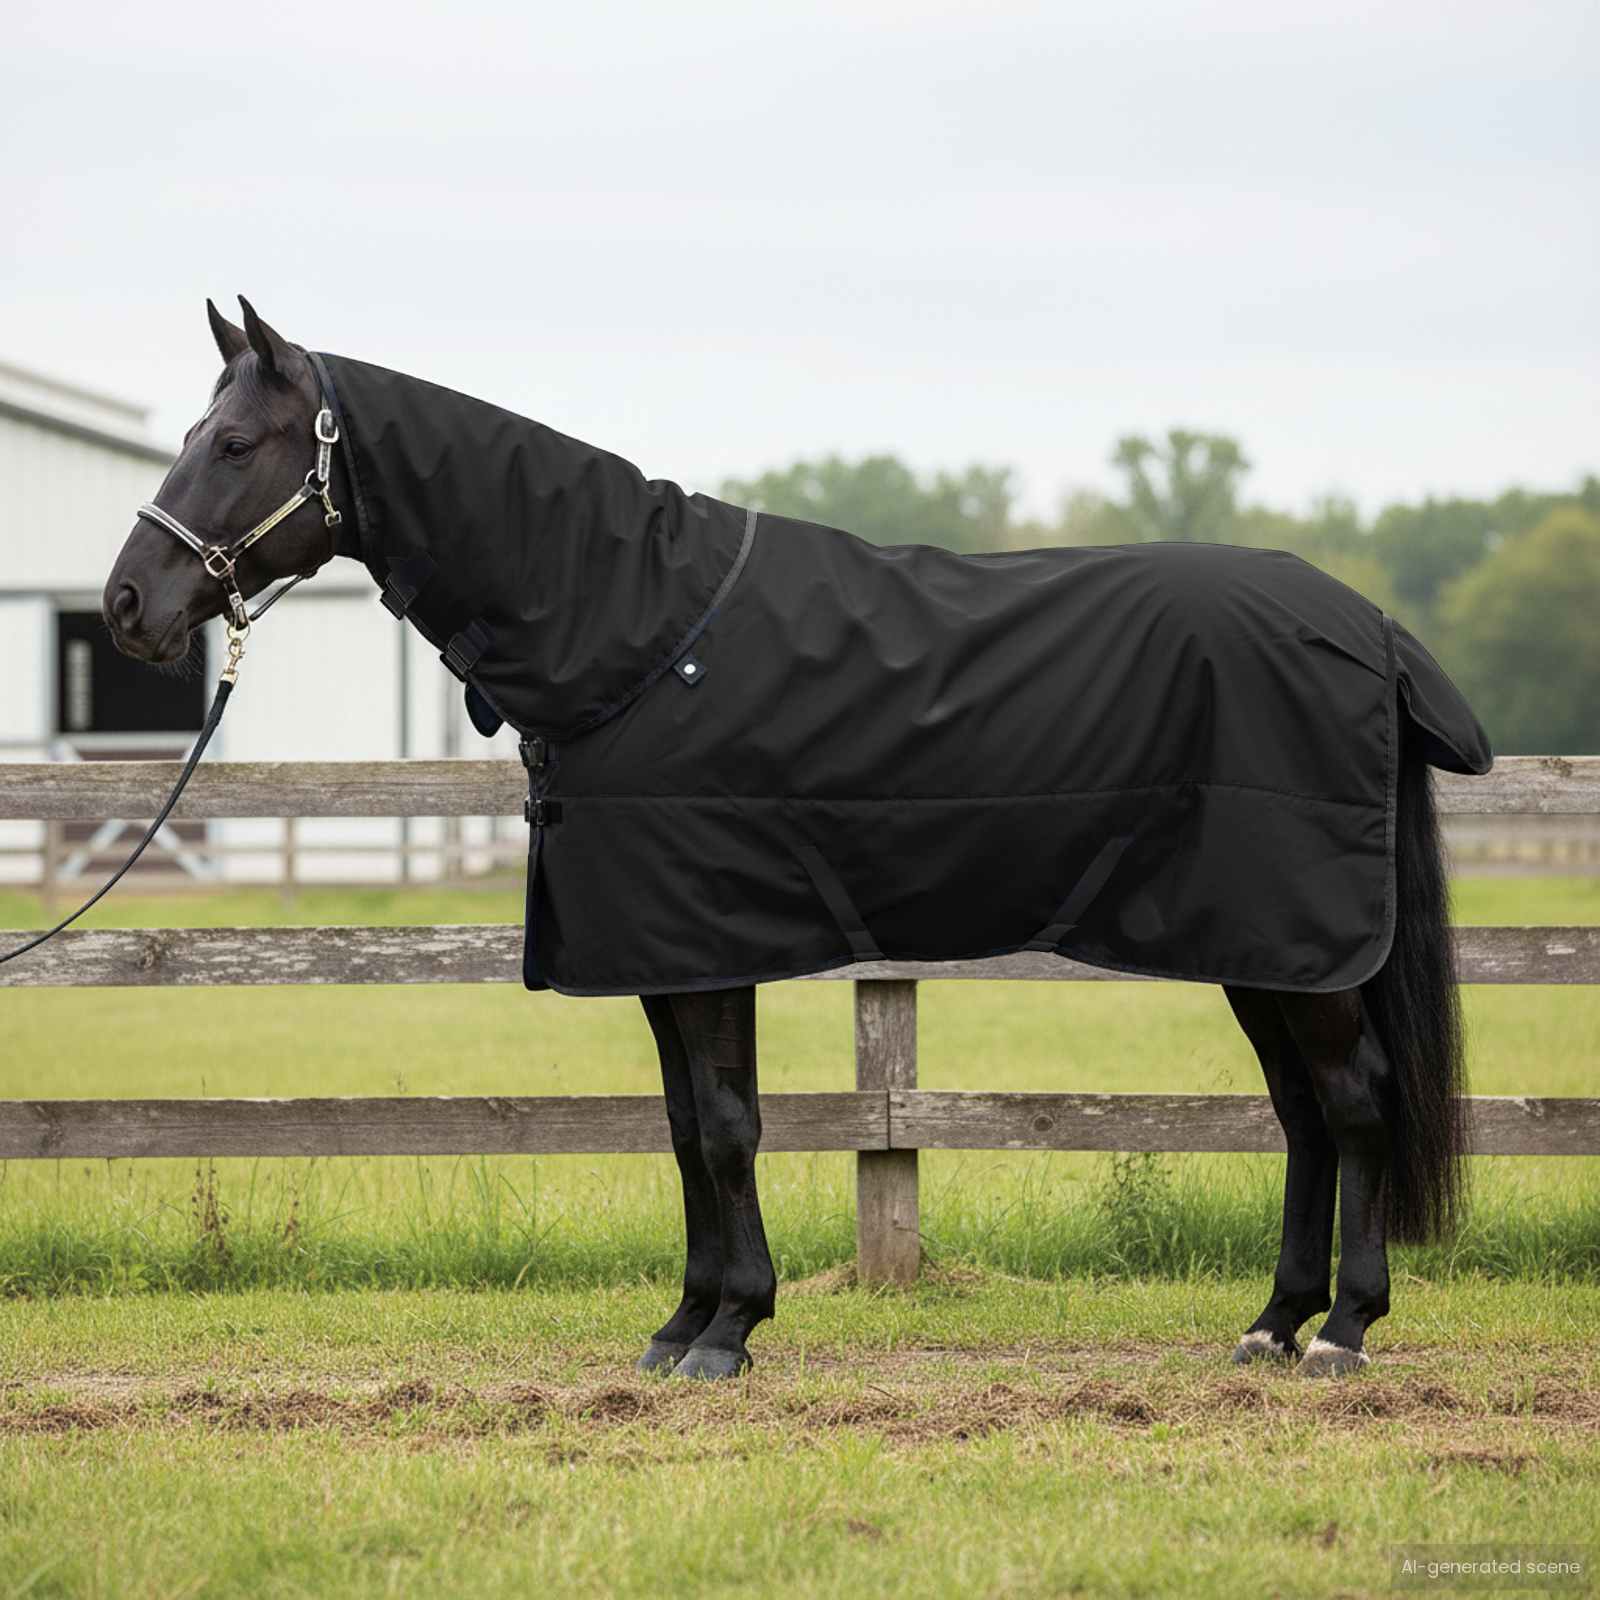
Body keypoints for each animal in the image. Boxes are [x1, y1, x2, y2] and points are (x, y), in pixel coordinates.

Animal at [102, 297, 1485, 1381]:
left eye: (233, 442)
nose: (126, 605)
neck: (638, 629)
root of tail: (1367, 625)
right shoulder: (662, 955)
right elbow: (681, 1128)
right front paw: (682, 1324)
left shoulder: (707, 942)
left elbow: (724, 1125)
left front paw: (728, 1332)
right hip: (1266, 950)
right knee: (1304, 1116)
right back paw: (1271, 1323)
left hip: (1297, 941)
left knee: (1353, 1103)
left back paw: (1343, 1331)